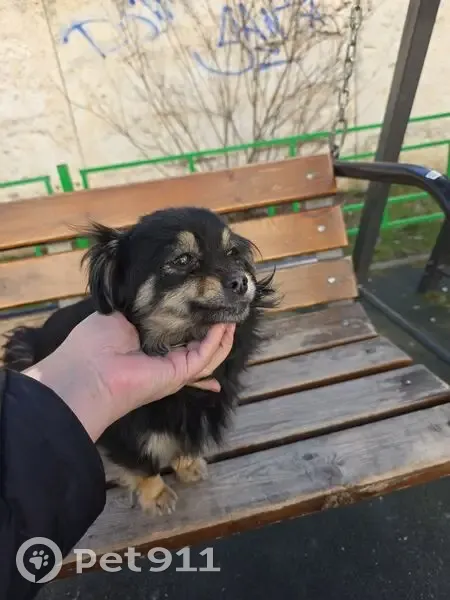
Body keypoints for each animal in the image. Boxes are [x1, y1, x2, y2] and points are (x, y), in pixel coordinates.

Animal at [3, 207, 276, 514]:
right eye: (182, 259)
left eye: (232, 253)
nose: (241, 281)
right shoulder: (124, 432)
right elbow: (142, 463)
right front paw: (156, 495)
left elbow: (183, 442)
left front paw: (187, 465)